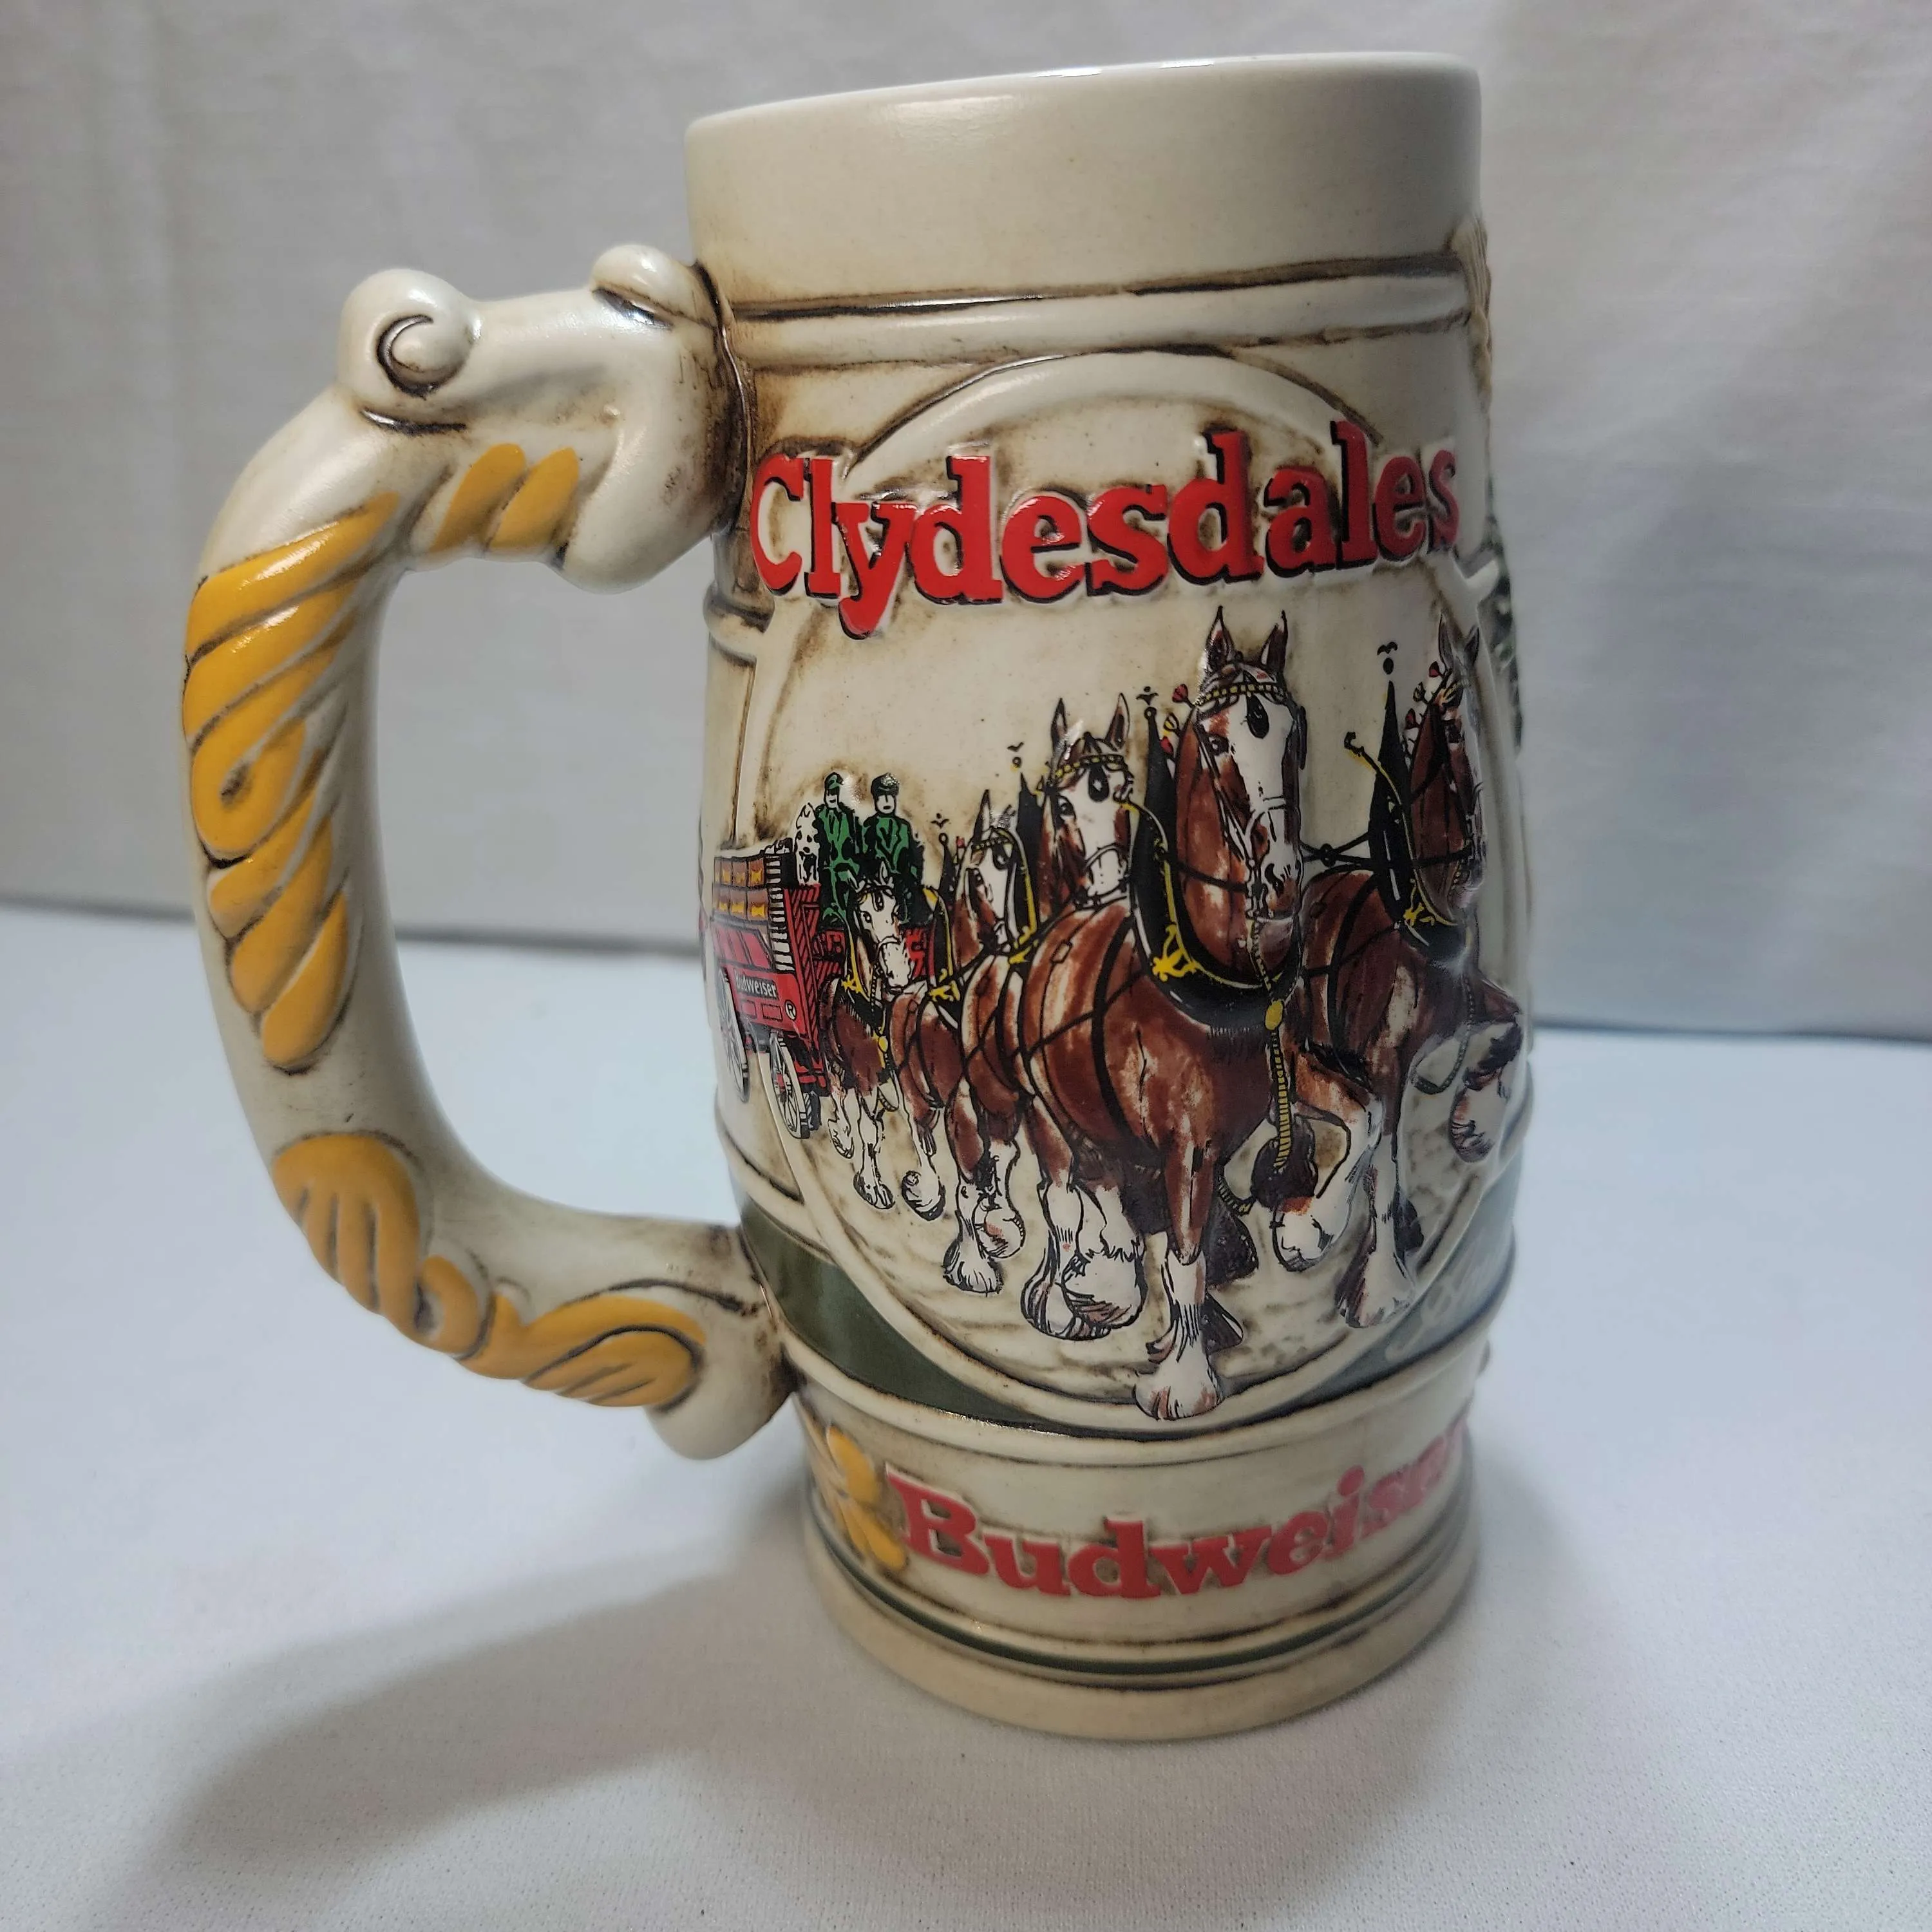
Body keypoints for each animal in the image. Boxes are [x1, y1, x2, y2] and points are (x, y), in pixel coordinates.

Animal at [822, 880, 916, 1211]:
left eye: (897, 909)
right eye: (864, 915)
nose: (898, 970)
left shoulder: (893, 1075)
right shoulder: (864, 1078)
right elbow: (868, 1132)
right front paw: (872, 1186)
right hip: (834, 1064)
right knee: (838, 1097)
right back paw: (842, 1135)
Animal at [887, 792, 1034, 1292]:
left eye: (1017, 868)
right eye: (980, 873)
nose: (1016, 938)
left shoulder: (1006, 1115)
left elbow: (1002, 1166)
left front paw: (1001, 1228)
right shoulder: (961, 1111)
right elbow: (968, 1190)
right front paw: (973, 1264)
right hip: (917, 1094)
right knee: (920, 1136)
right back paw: (925, 1191)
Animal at [1012, 615, 1308, 1418]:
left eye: (1295, 733)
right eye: (1216, 741)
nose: (1282, 880)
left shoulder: (1217, 1144)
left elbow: (1199, 1246)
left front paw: (1192, 1337)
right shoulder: (1186, 1151)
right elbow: (1182, 1257)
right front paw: (1183, 1381)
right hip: (1045, 1109)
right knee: (1064, 1196)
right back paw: (1075, 1297)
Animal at [1264, 616, 1523, 1327]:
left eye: (1481, 724)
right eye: (1452, 730)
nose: (1475, 862)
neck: (1420, 927)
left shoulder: (1465, 1011)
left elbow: (1514, 1026)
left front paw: (1474, 1125)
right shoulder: (1377, 1064)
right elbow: (1376, 1143)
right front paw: (1340, 1254)